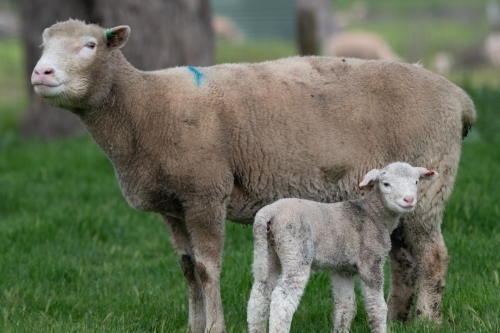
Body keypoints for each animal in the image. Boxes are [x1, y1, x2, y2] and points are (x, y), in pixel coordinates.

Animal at [246, 163, 438, 332]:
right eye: (386, 184)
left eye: (416, 182)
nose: (409, 200)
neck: (372, 213)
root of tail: (268, 214)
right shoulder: (371, 262)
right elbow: (377, 308)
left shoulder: (343, 269)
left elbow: (346, 307)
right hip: (295, 250)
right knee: (282, 301)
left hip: (268, 251)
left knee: (259, 296)